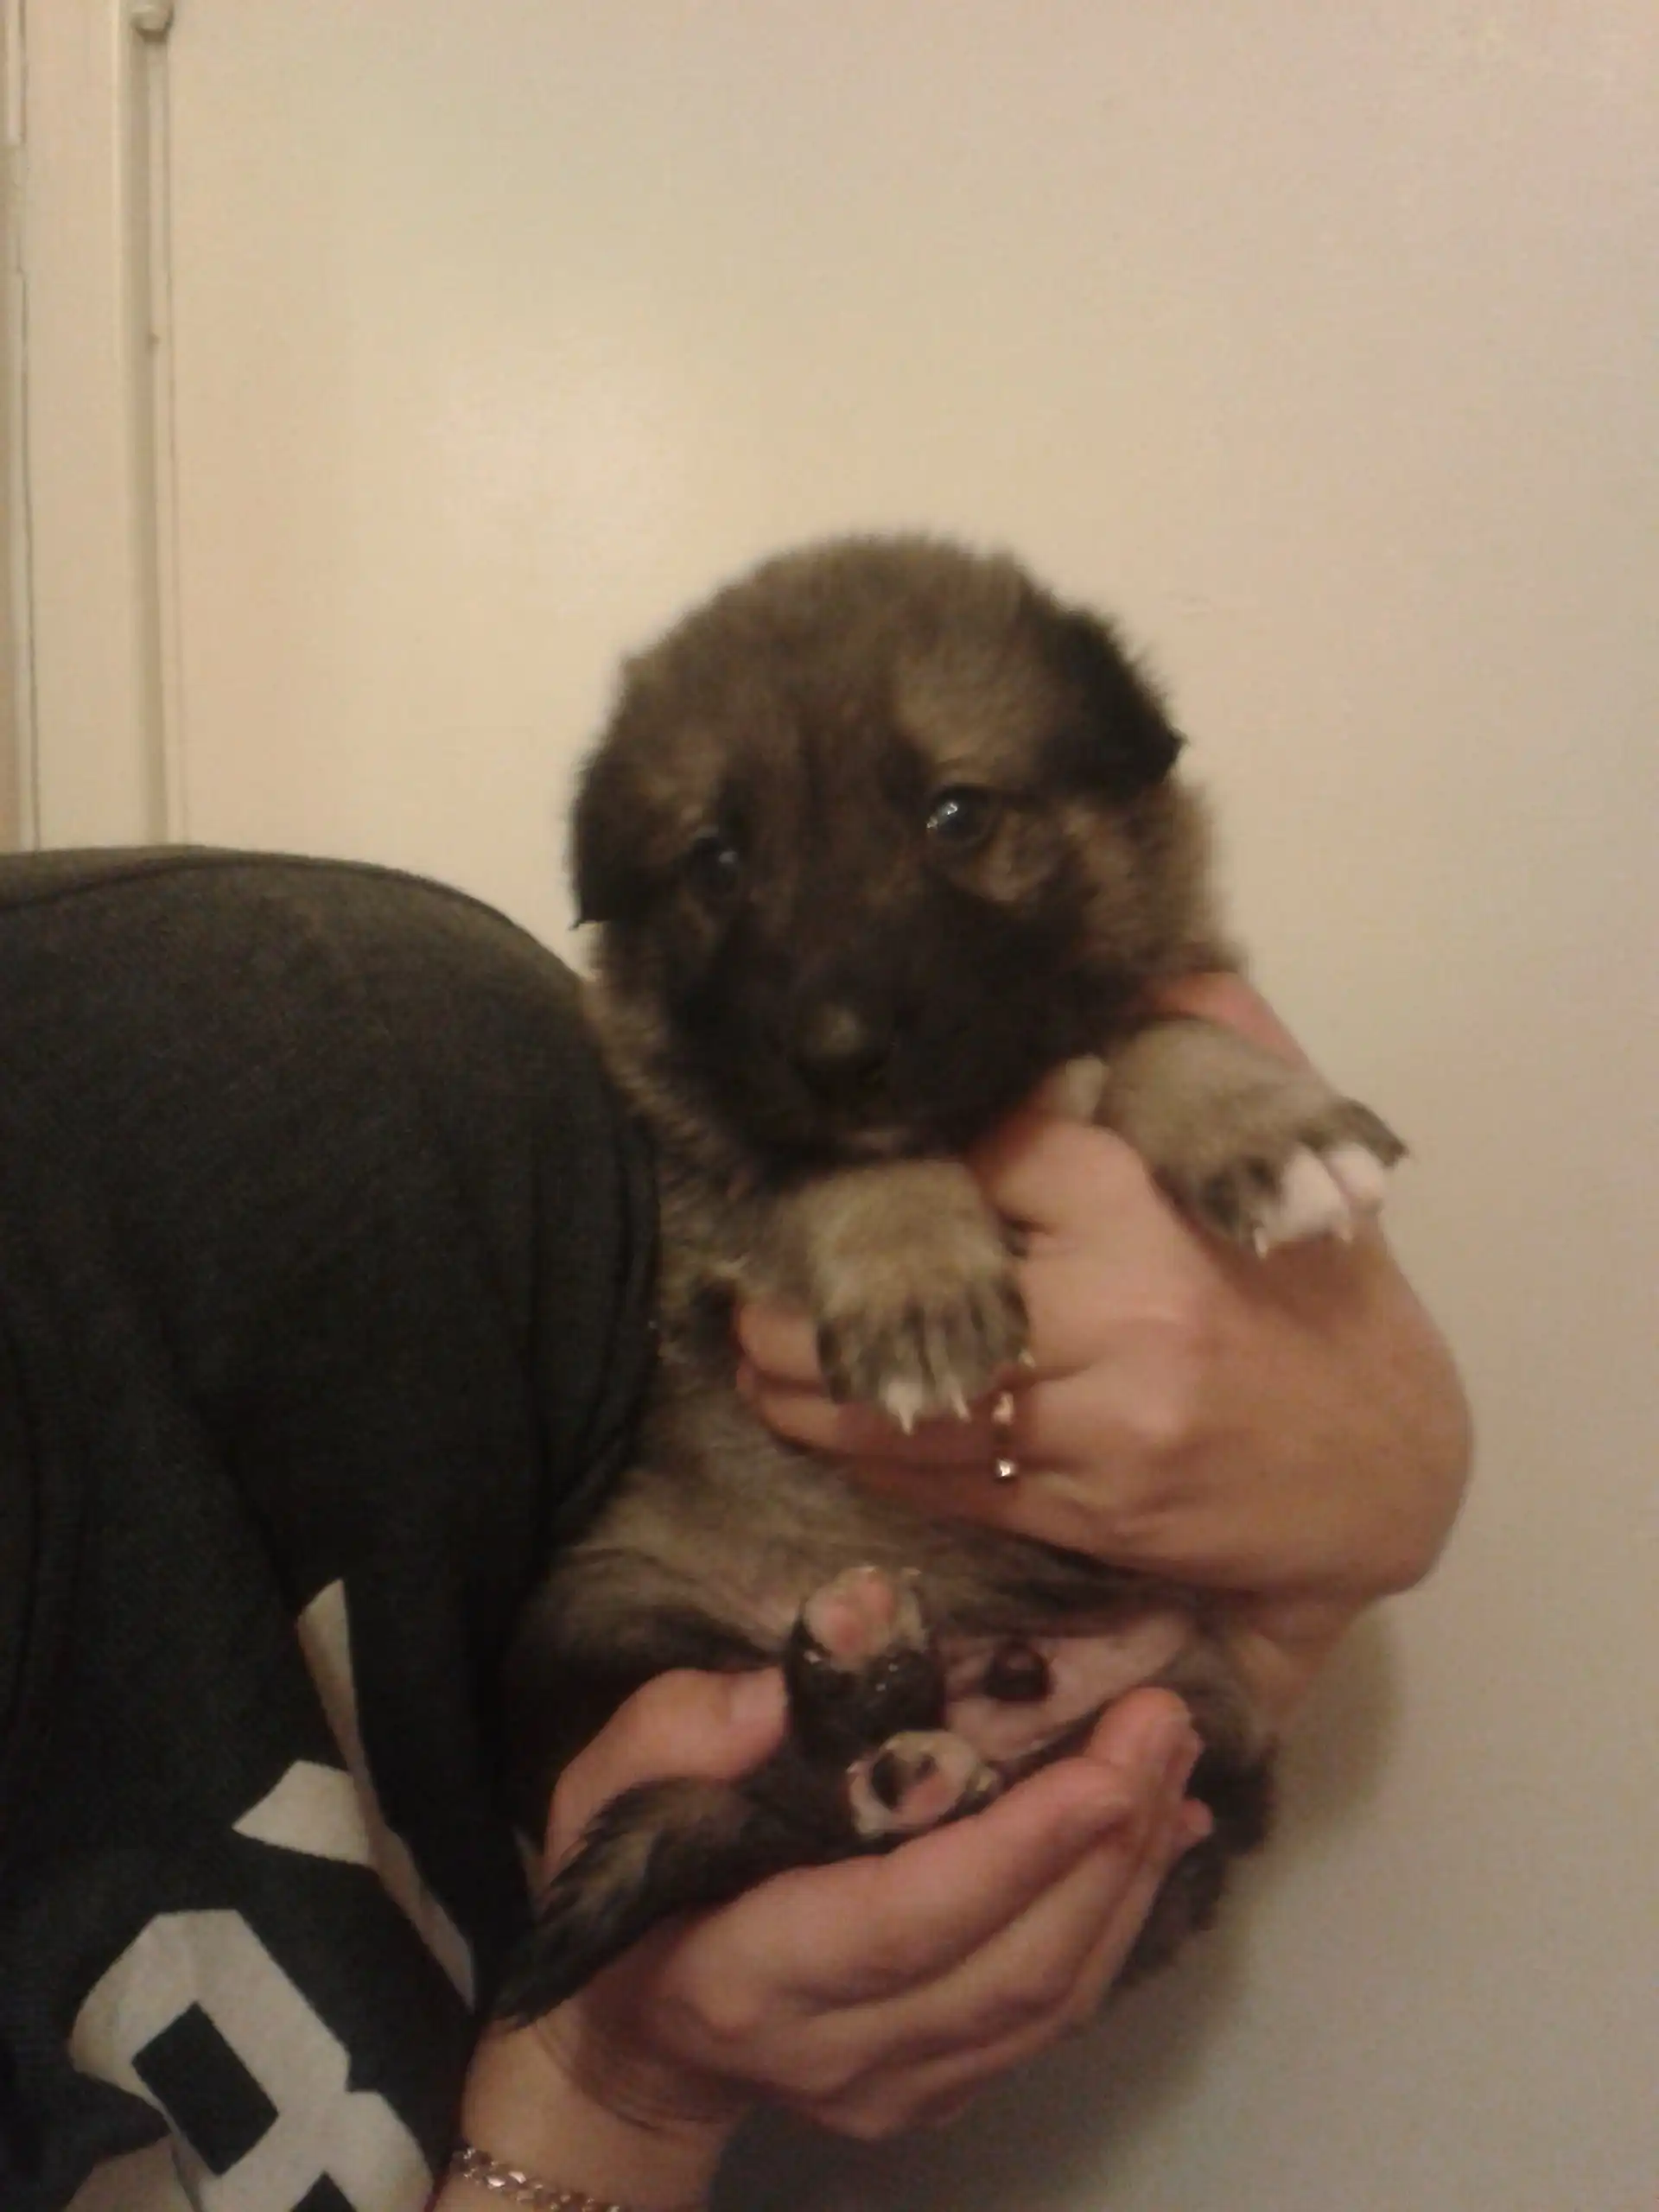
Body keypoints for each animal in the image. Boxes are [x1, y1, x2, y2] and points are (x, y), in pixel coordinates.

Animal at [495, 535, 1402, 2022]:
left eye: (957, 814)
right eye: (716, 861)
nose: (837, 1048)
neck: (991, 1107)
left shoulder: (1141, 993)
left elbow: (1153, 1035)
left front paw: (1268, 1131)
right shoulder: (717, 1163)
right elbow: (843, 1172)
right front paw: (918, 1289)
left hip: (1195, 1720)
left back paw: (926, 1751)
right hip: (606, 1621)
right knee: (791, 1797)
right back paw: (877, 1726)